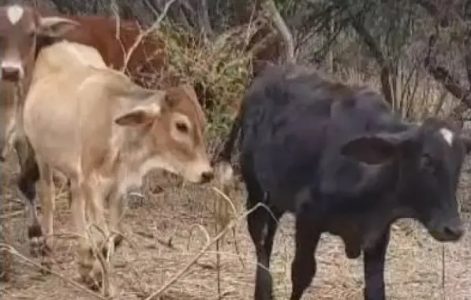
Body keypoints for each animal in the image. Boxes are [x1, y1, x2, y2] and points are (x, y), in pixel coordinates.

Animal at [23, 39, 212, 290]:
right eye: (181, 125)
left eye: (202, 123)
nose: (207, 173)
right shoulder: (92, 182)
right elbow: (104, 239)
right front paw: (99, 278)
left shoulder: (119, 188)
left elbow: (115, 237)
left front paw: (97, 276)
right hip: (42, 157)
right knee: (49, 199)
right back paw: (48, 254)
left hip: (74, 174)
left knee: (76, 205)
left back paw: (84, 259)